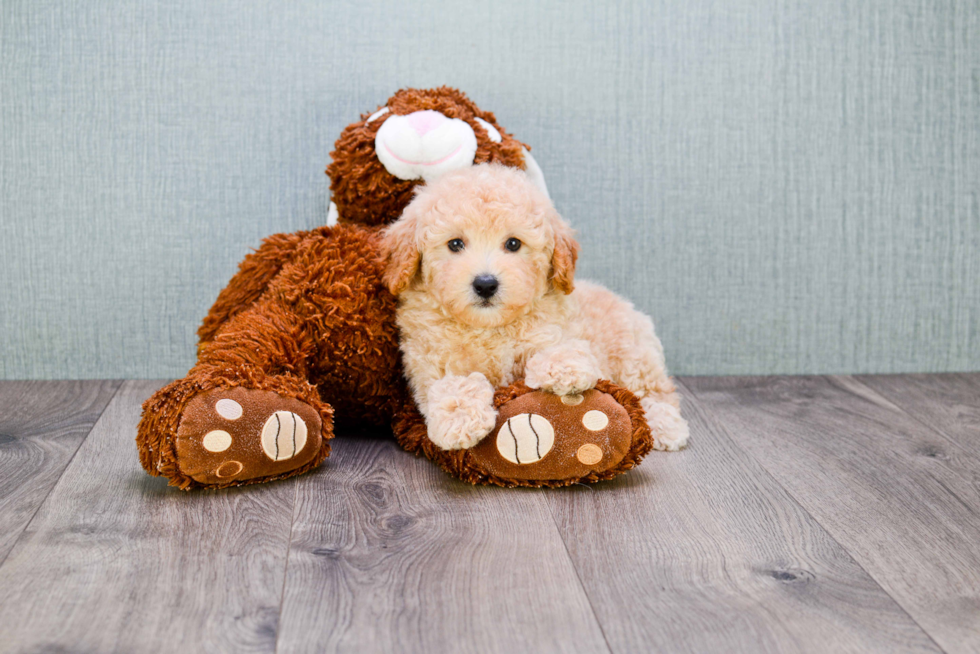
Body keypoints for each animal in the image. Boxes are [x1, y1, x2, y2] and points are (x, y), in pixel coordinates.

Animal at [380, 163, 688, 456]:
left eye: (513, 243)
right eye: (455, 244)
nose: (485, 284)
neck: (488, 328)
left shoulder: (556, 330)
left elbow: (558, 348)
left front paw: (563, 368)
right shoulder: (429, 364)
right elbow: (452, 385)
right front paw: (460, 420)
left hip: (634, 357)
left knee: (657, 394)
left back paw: (666, 427)